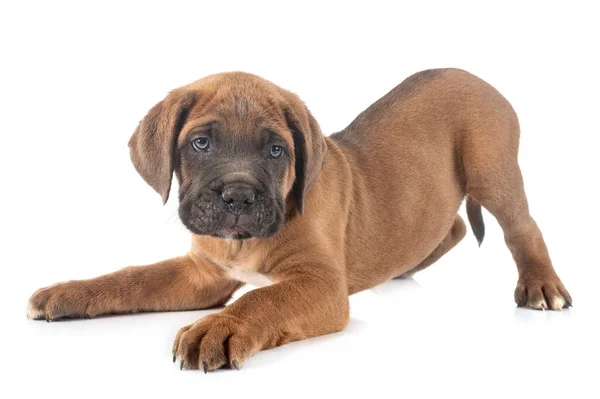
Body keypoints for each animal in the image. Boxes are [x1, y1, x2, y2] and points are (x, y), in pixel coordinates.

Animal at [28, 68, 572, 372]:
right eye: (200, 143)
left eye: (275, 150)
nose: (238, 196)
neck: (241, 242)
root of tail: (474, 76)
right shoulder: (203, 273)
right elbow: (131, 278)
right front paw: (69, 292)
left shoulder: (321, 284)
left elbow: (265, 298)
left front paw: (218, 328)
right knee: (449, 227)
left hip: (491, 171)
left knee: (522, 227)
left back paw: (542, 286)